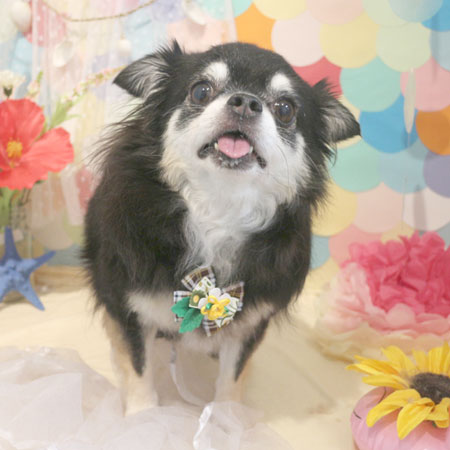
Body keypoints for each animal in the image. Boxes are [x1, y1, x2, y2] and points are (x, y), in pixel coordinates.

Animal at [83, 41, 359, 413]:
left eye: (286, 110)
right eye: (201, 91)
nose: (245, 102)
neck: (218, 207)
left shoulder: (248, 323)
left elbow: (232, 378)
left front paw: (227, 419)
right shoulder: (130, 309)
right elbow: (139, 370)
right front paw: (143, 416)